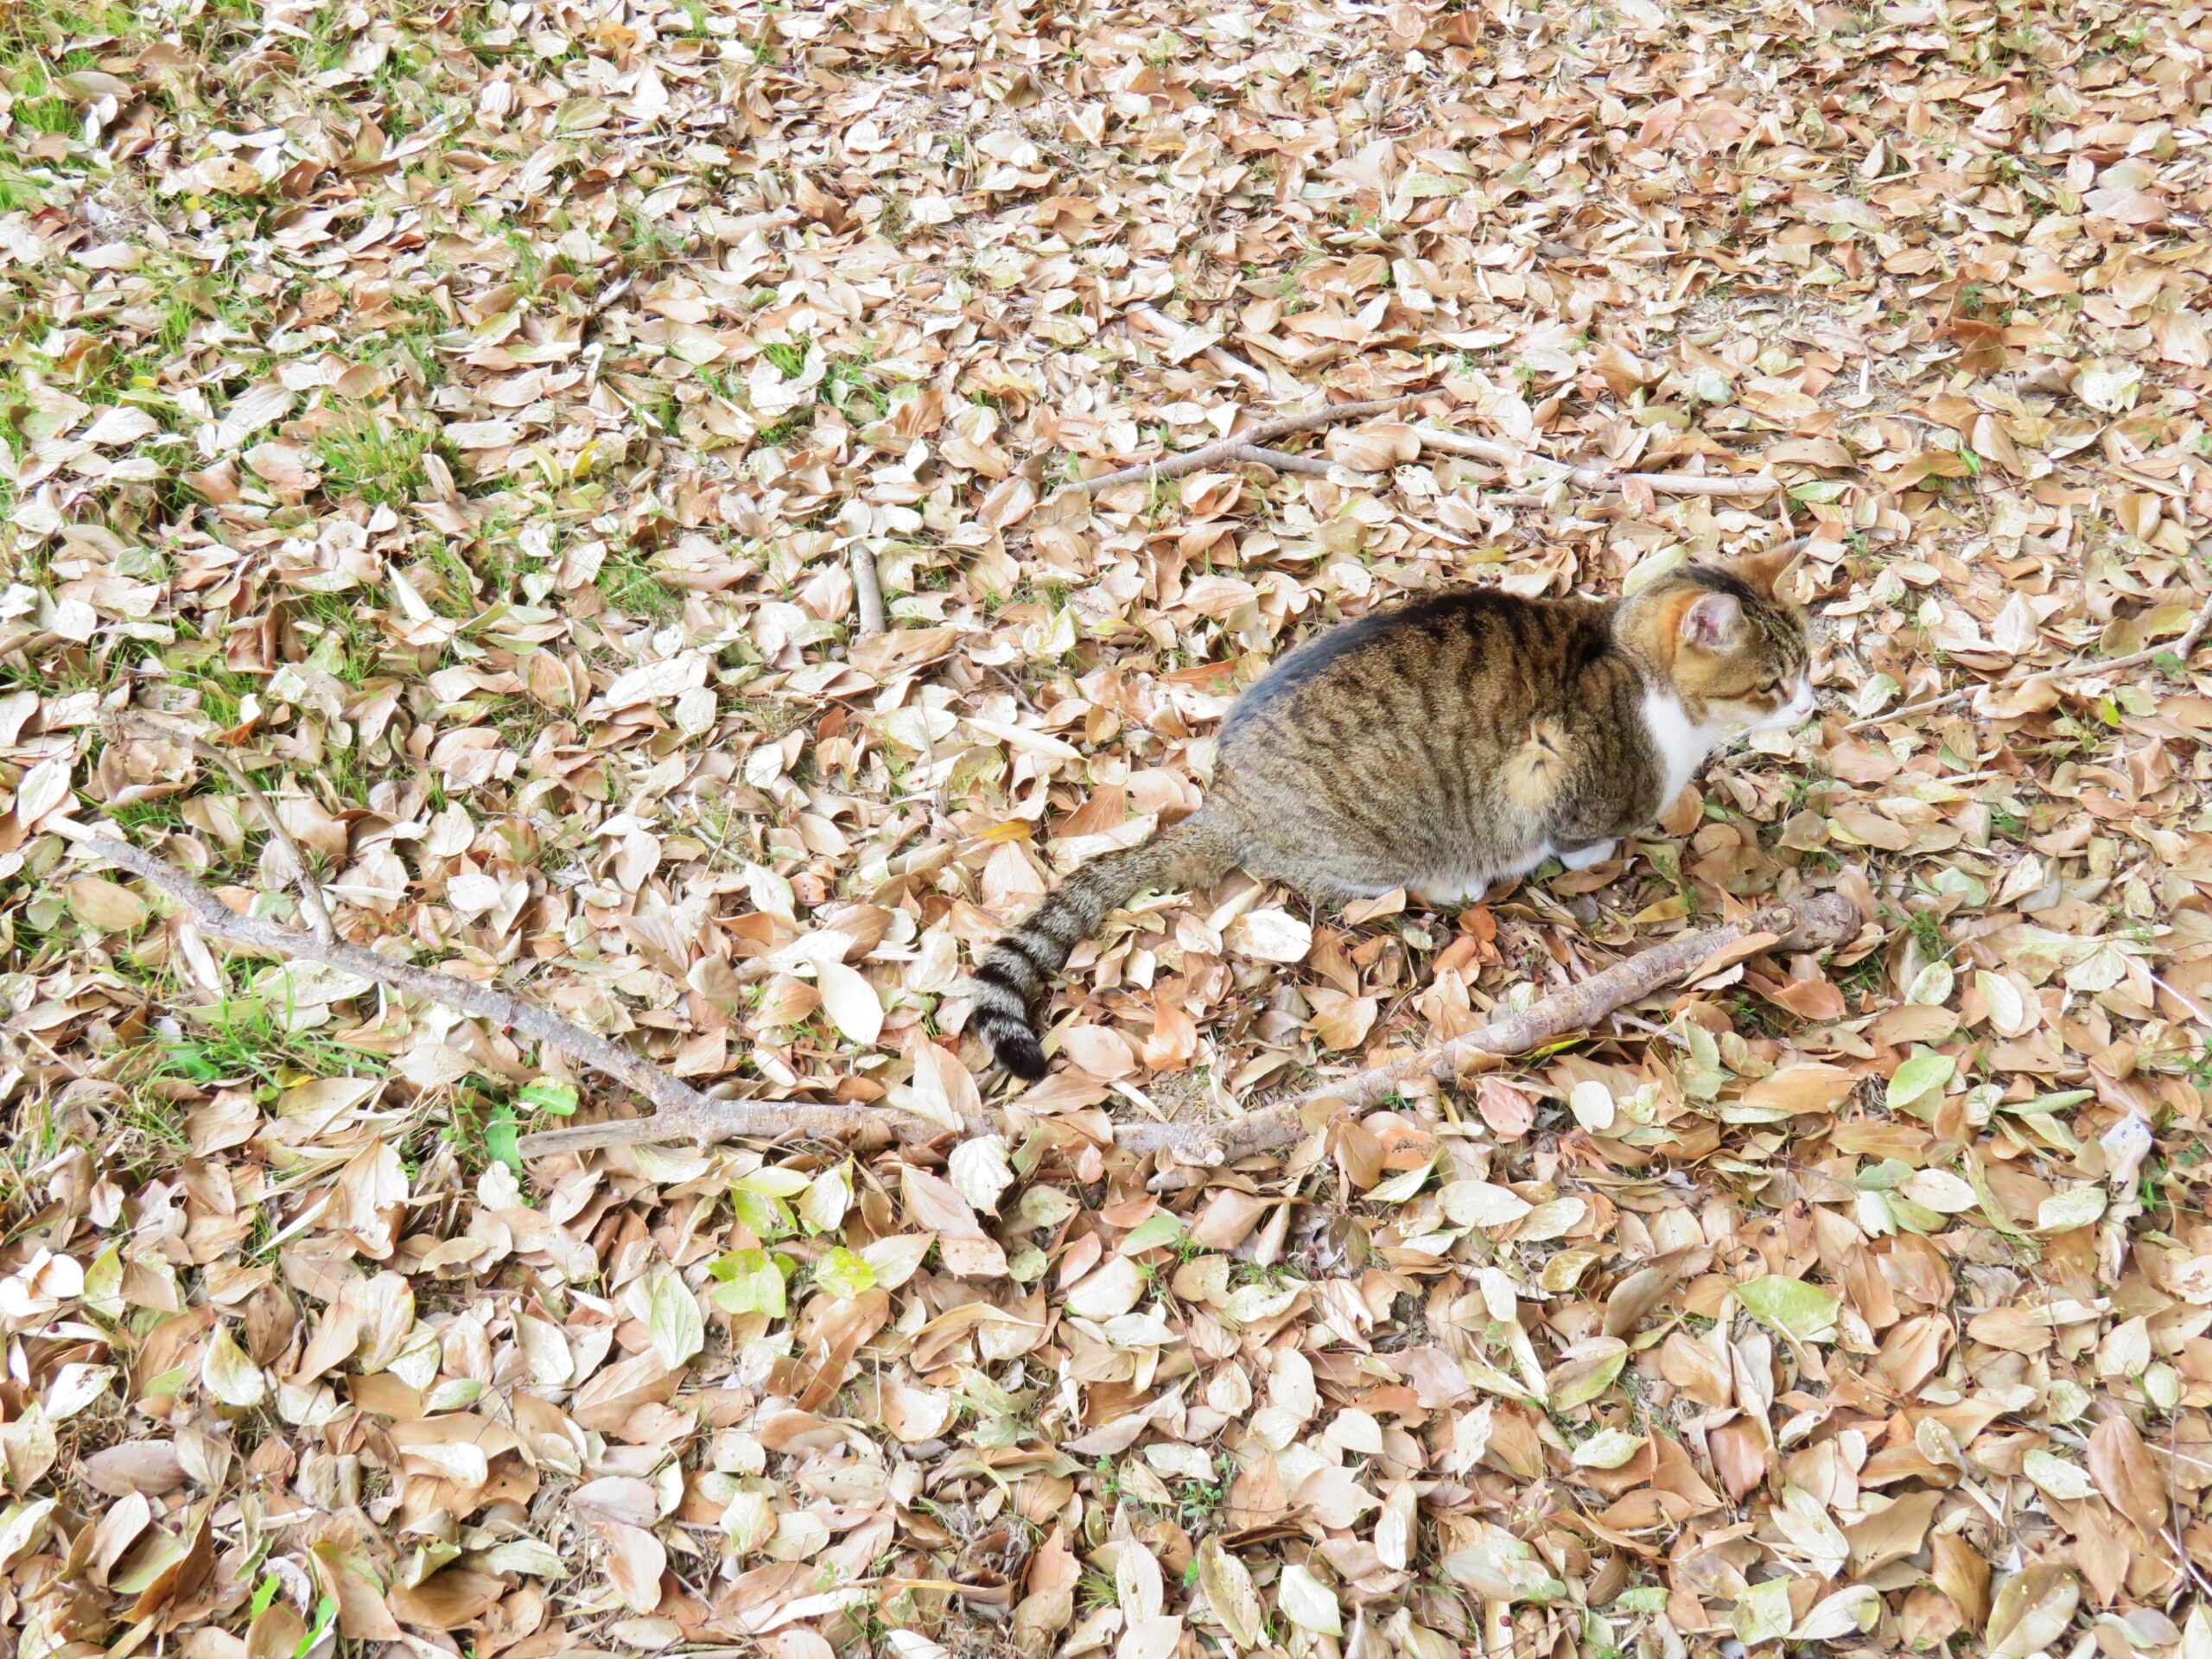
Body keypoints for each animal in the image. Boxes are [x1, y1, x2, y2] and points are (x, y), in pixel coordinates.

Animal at [973, 553, 1814, 1084]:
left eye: (1807, 665)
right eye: (1773, 682)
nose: (1811, 705)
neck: (1635, 670)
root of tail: (1230, 801)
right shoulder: (1556, 775)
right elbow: (1579, 838)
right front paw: (1602, 853)